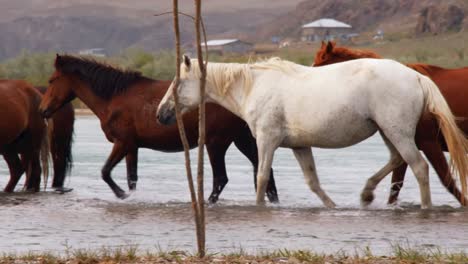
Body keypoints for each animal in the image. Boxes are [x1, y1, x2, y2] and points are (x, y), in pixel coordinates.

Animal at [39, 54, 278, 203]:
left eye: (52, 80)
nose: (42, 110)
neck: (113, 97)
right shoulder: (132, 147)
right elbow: (131, 178)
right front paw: (130, 196)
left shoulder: (122, 143)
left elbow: (105, 172)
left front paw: (121, 195)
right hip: (243, 140)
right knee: (265, 172)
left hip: (216, 143)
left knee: (221, 179)